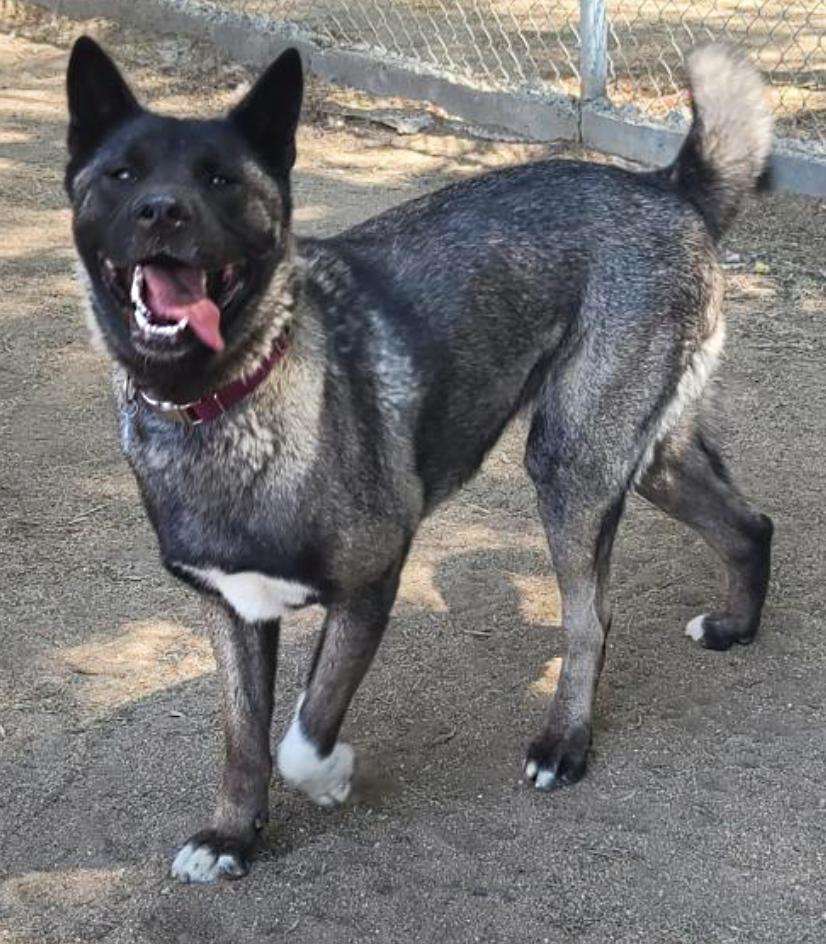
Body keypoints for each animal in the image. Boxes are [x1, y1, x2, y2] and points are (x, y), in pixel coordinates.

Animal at [64, 35, 772, 876]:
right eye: (122, 174)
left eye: (219, 179)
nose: (161, 211)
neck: (229, 401)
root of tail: (668, 188)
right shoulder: (231, 609)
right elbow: (243, 740)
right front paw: (233, 834)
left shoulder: (371, 583)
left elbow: (302, 735)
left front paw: (332, 779)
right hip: (649, 456)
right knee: (749, 525)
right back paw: (735, 627)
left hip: (571, 466)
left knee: (591, 619)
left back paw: (564, 744)